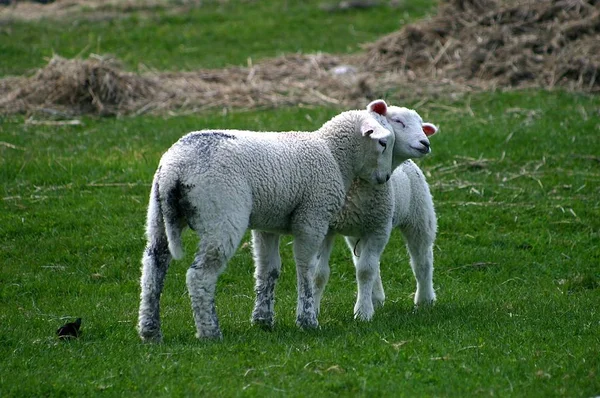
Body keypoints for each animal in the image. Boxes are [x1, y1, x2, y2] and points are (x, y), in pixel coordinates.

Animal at [138, 106, 396, 342]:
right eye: (383, 143)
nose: (385, 178)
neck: (333, 154)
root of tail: (175, 169)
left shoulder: (268, 225)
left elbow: (268, 269)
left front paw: (263, 320)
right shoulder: (312, 216)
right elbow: (306, 268)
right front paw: (307, 320)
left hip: (158, 215)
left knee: (153, 266)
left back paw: (150, 331)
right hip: (222, 213)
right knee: (199, 276)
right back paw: (210, 333)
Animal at [248, 99, 436, 326]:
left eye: (422, 126)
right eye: (399, 121)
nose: (425, 143)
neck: (357, 186)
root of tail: (409, 165)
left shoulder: (379, 228)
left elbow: (365, 271)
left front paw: (363, 313)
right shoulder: (328, 228)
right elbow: (321, 273)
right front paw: (315, 308)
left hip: (420, 216)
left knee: (421, 261)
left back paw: (424, 300)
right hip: (359, 231)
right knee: (371, 262)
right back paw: (376, 298)